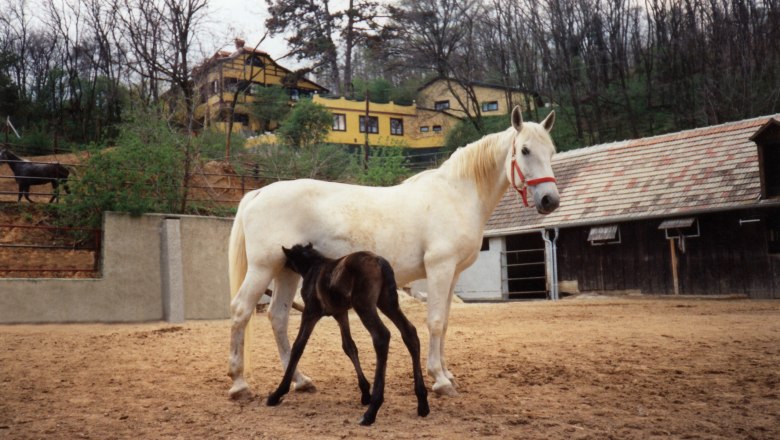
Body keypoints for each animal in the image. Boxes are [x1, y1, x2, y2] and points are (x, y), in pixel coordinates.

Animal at [228, 106, 559, 399]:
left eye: (552, 151)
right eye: (525, 150)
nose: (550, 200)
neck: (456, 194)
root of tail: (259, 193)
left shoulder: (452, 274)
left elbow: (445, 322)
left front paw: (447, 374)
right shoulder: (440, 268)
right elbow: (435, 321)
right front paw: (440, 380)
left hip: (286, 271)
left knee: (278, 318)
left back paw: (299, 380)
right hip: (263, 268)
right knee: (241, 311)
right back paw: (239, 384)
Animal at [267, 243, 429, 426]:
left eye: (289, 258)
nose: (283, 264)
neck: (313, 267)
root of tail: (381, 262)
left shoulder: (311, 312)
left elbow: (298, 346)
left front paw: (277, 393)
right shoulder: (341, 313)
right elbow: (349, 346)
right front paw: (365, 393)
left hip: (364, 305)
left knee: (381, 336)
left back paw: (371, 412)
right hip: (387, 302)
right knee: (409, 332)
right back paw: (422, 403)